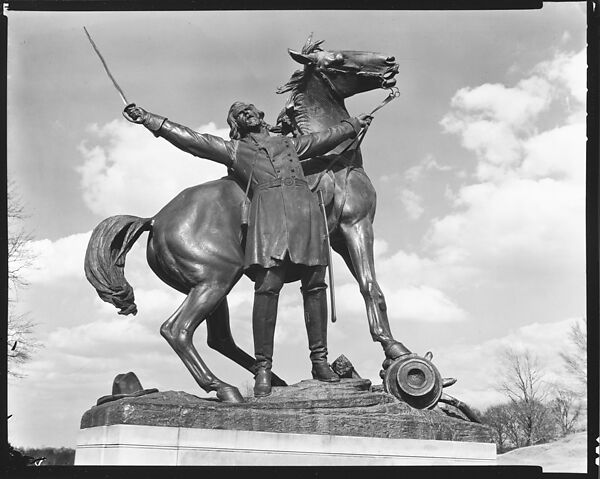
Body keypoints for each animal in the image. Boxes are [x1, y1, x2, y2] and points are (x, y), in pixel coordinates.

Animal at [84, 40, 408, 404]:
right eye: (337, 59)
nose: (390, 62)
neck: (332, 161)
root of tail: (154, 219)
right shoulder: (358, 225)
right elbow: (371, 287)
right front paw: (397, 352)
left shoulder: (334, 243)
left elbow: (342, 291)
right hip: (216, 280)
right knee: (177, 330)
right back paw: (226, 388)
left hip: (213, 284)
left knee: (219, 339)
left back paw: (270, 381)